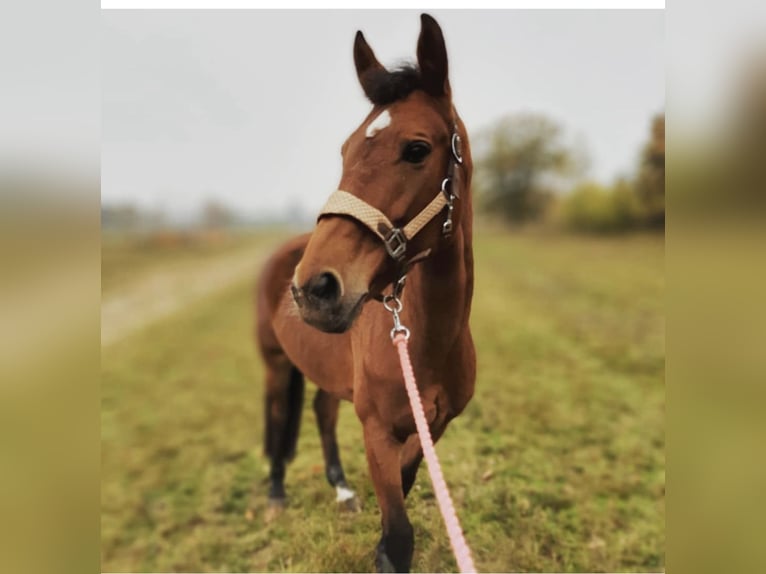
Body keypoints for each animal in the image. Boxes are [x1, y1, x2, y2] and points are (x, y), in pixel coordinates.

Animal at [255, 14, 476, 574]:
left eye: (417, 149)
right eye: (345, 151)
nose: (313, 288)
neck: (425, 343)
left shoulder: (431, 428)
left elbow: (402, 488)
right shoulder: (376, 429)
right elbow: (398, 535)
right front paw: (383, 547)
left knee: (320, 412)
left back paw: (341, 490)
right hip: (275, 364)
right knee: (277, 420)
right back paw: (276, 495)